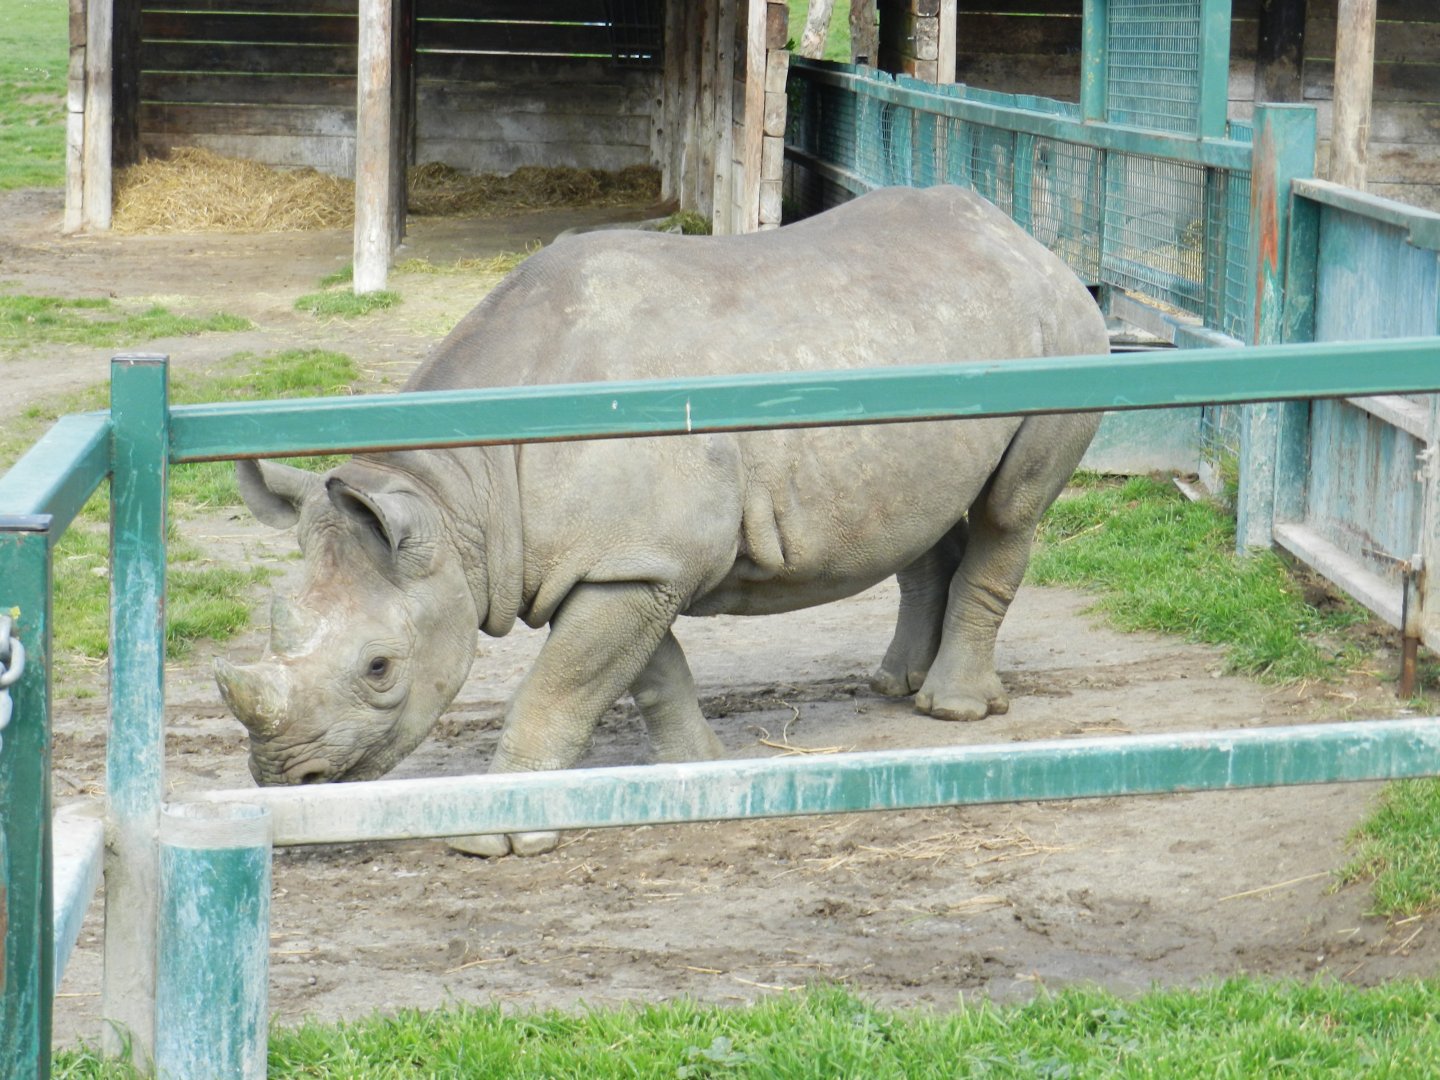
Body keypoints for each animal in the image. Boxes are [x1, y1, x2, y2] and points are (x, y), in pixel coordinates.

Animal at [216, 185, 1107, 856]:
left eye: (379, 668)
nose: (284, 779)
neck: (454, 494)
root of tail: (1026, 239)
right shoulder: (629, 559)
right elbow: (649, 673)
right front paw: (695, 775)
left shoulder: (633, 561)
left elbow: (559, 686)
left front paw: (492, 839)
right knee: (920, 515)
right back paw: (899, 687)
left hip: (1062, 335)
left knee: (1010, 509)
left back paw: (950, 711)